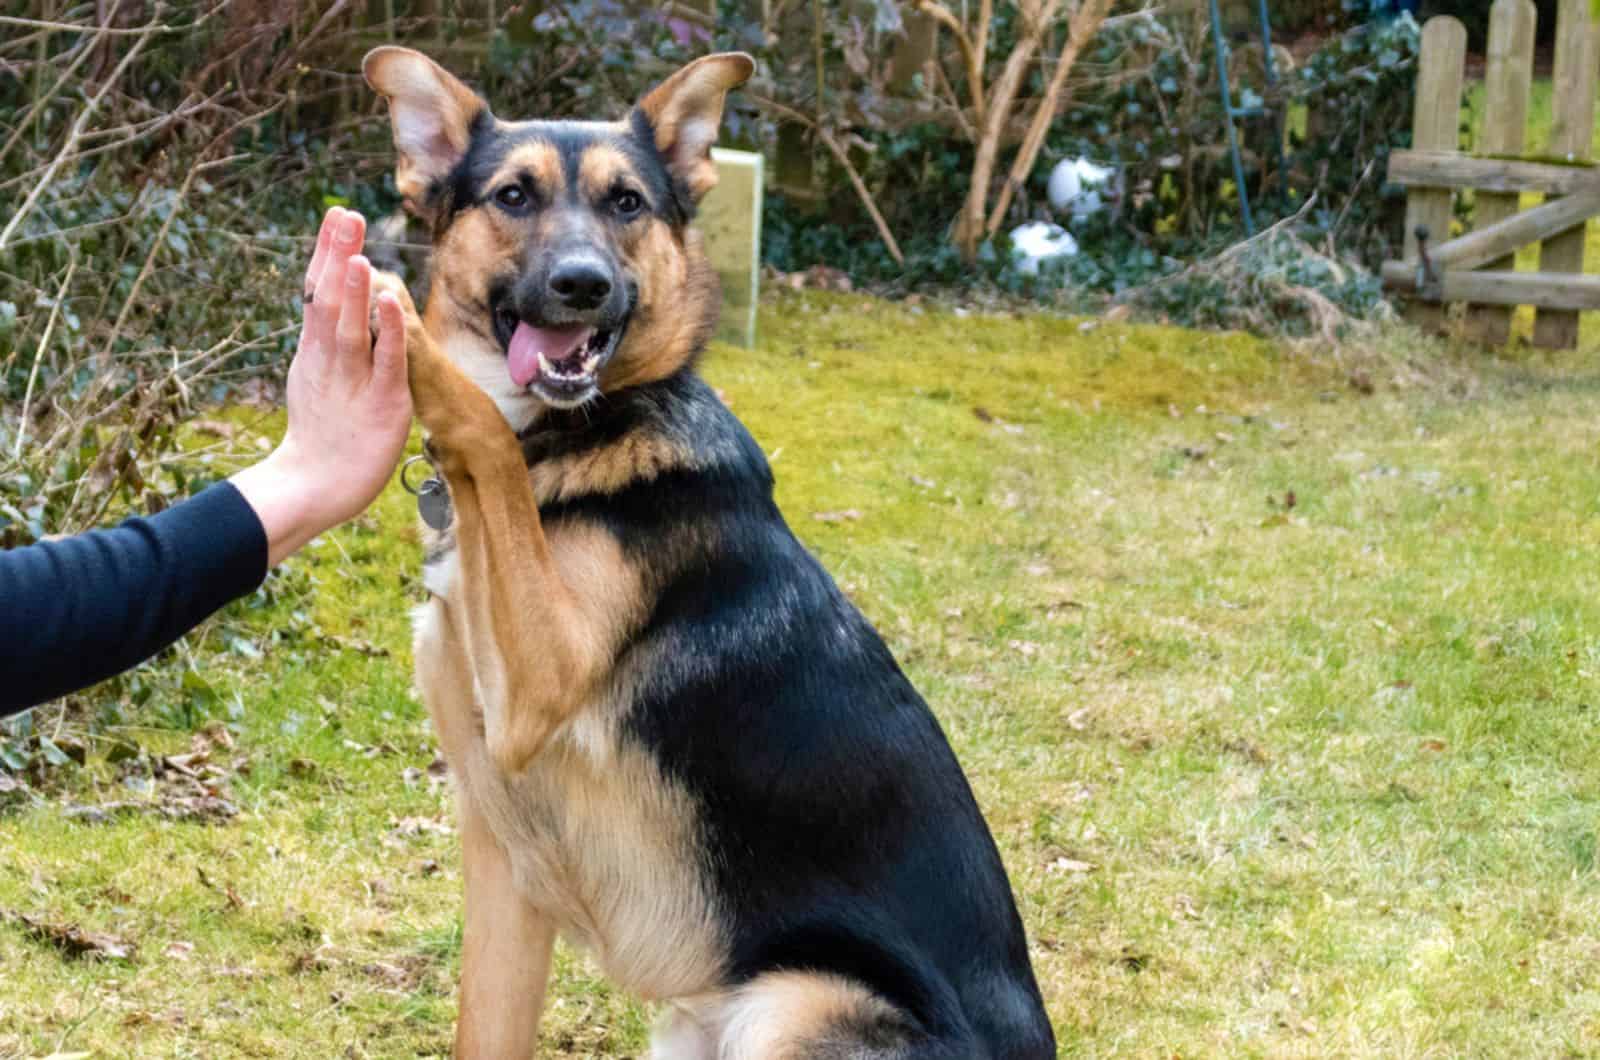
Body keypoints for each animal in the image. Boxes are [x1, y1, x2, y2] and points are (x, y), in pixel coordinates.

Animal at [366, 45, 1056, 1056]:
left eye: (626, 203)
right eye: (512, 196)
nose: (583, 285)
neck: (578, 433)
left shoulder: (537, 683)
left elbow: (480, 430)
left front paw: (382, 302)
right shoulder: (503, 865)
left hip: (790, 1005)